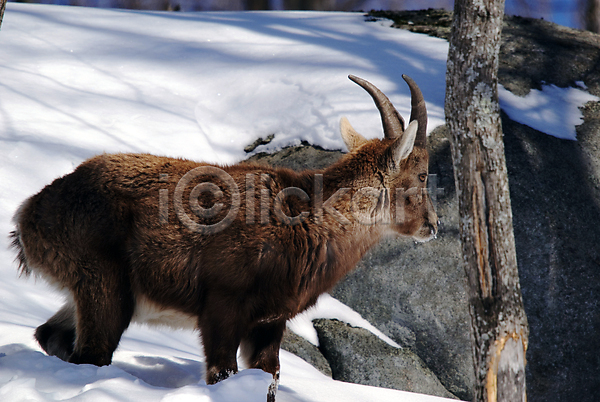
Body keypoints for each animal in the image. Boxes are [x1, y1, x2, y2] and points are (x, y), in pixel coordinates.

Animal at [10, 74, 440, 400]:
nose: (433, 226)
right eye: (421, 175)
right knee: (90, 353)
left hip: (88, 291)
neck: (307, 221)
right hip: (104, 287)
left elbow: (269, 377)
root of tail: (30, 212)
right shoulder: (222, 308)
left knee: (49, 335)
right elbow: (221, 373)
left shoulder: (268, 323)